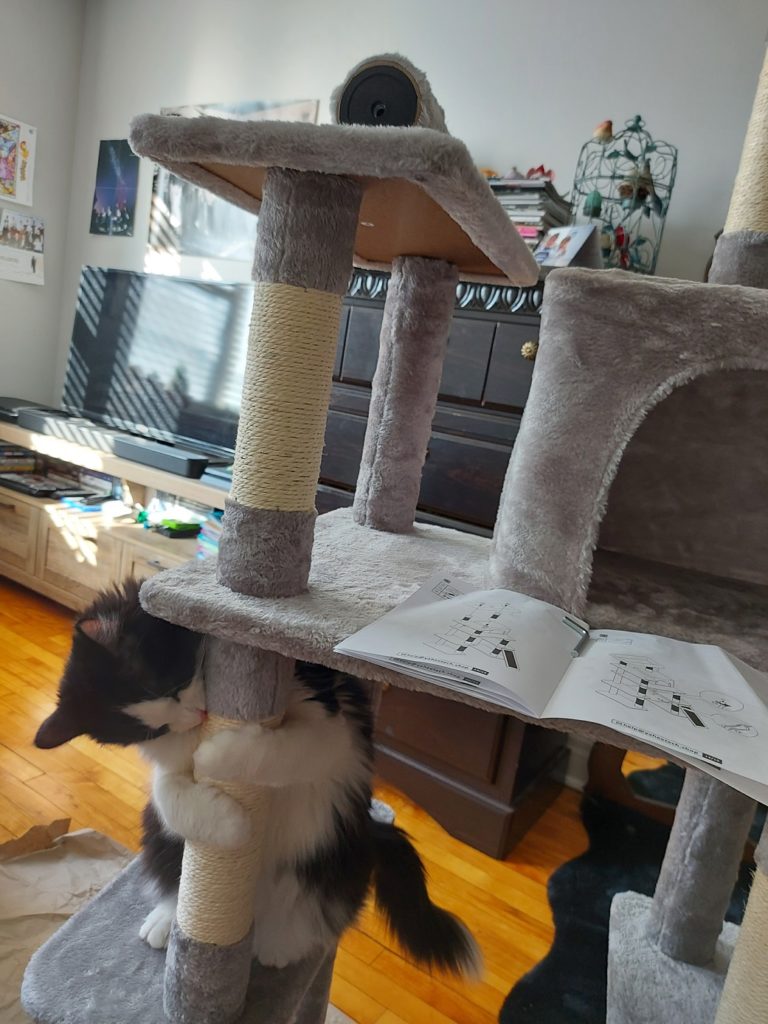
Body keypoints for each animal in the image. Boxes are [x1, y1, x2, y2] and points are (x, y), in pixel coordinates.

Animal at [37, 581, 481, 970]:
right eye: (155, 729)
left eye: (171, 684)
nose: (197, 716)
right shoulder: (168, 766)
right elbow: (166, 790)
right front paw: (232, 825)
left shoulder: (335, 728)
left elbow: (284, 750)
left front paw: (218, 756)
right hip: (161, 842)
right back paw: (166, 920)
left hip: (331, 861)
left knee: (317, 914)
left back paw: (278, 946)